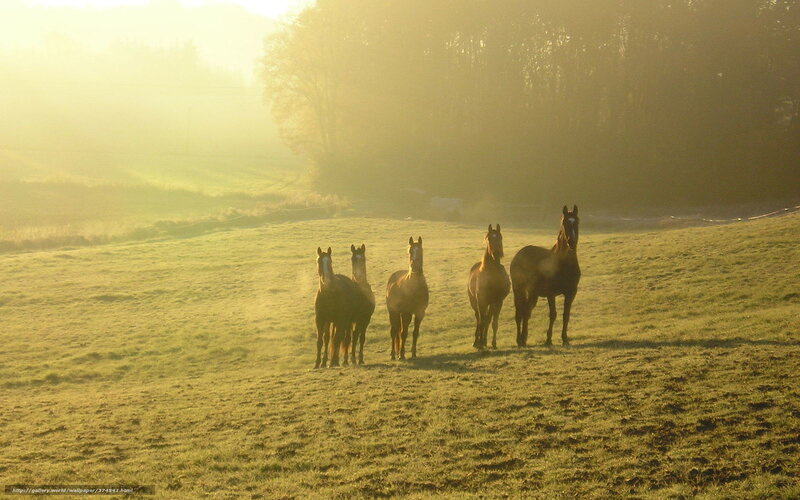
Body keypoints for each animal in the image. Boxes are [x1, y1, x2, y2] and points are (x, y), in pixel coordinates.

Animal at [510, 205, 581, 347]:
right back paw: (519, 340)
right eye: (564, 222)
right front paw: (548, 339)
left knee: (526, 312)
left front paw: (565, 339)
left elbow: (566, 315)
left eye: (577, 222)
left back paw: (524, 339)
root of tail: (518, 255)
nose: (571, 242)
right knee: (519, 313)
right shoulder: (551, 293)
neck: (563, 264)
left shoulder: (571, 292)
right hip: (518, 290)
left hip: (533, 293)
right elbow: (553, 314)